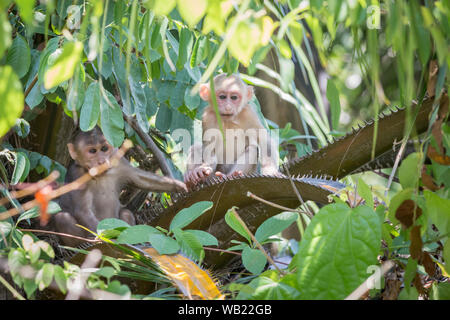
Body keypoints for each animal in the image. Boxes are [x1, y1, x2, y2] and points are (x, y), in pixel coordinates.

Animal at [55, 126, 187, 246]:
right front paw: (103, 238)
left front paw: (179, 185)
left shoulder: (119, 162)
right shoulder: (76, 174)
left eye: (104, 148)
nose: (101, 161)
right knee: (62, 218)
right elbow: (82, 210)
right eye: (92, 151)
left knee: (126, 212)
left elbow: (141, 179)